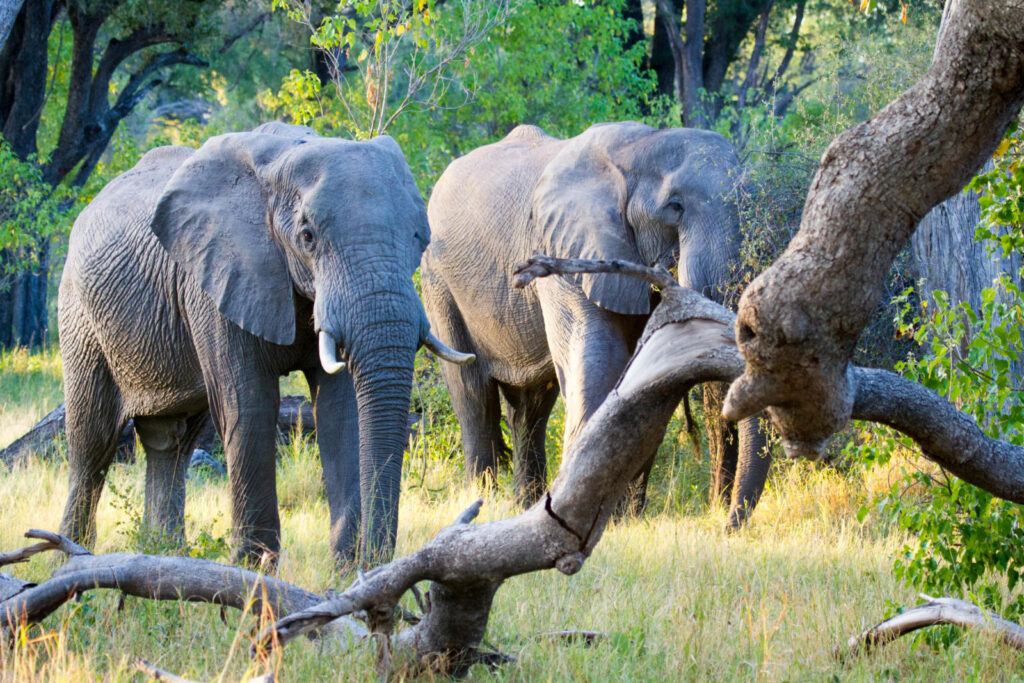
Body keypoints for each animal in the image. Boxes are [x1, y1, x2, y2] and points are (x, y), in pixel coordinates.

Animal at [61, 121, 477, 565]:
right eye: (307, 236)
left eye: (419, 237)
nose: (375, 560)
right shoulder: (216, 278)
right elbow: (249, 406)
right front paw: (253, 568)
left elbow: (339, 411)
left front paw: (344, 568)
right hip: (80, 318)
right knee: (92, 443)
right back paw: (69, 557)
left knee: (171, 441)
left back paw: (164, 554)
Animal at [421, 121, 770, 524]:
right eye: (675, 207)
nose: (724, 520)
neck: (639, 146)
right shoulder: (561, 250)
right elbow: (597, 358)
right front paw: (592, 518)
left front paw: (624, 517)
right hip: (437, 280)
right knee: (473, 393)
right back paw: (485, 499)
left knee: (531, 406)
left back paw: (525, 502)